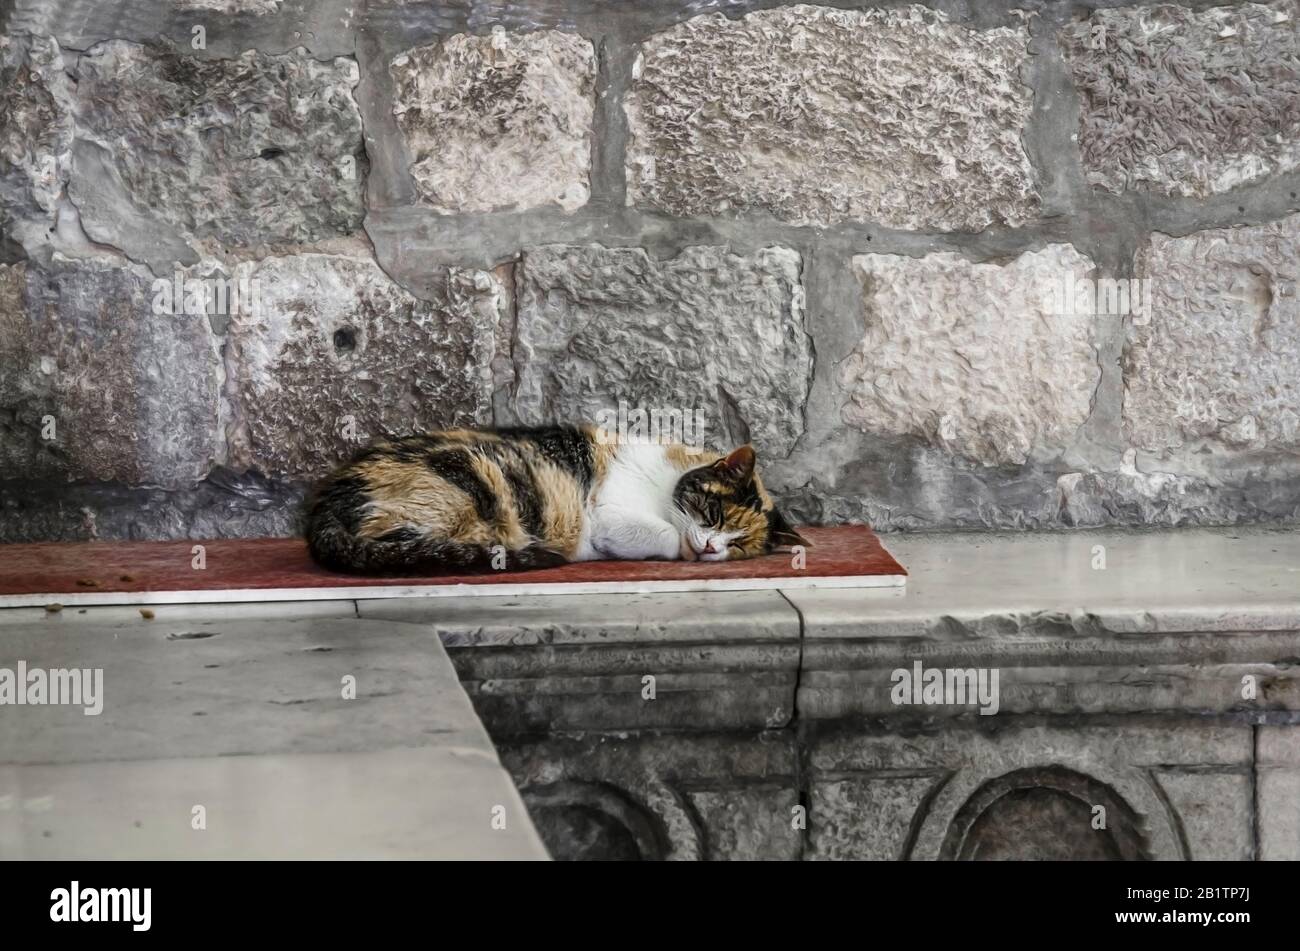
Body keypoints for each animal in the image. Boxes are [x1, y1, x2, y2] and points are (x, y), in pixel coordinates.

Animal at [308, 423, 806, 571]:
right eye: (714, 513)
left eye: (738, 545)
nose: (710, 547)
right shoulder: (607, 513)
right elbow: (664, 534)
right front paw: (679, 546)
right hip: (471, 480)